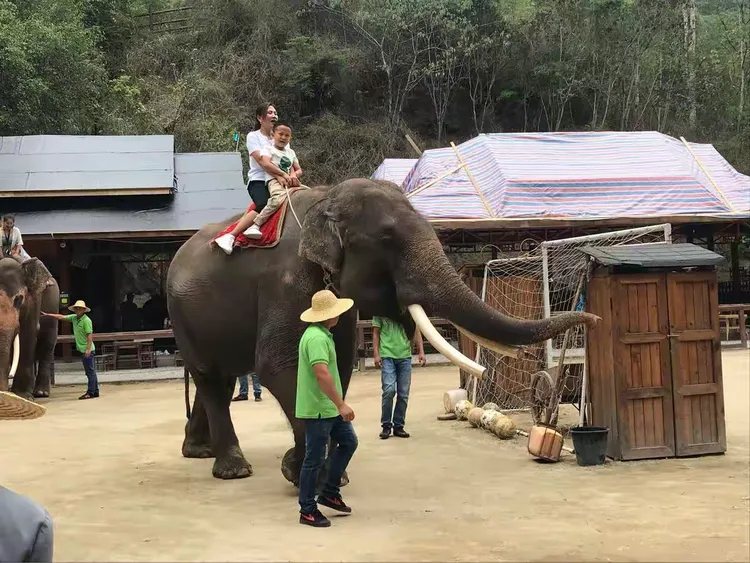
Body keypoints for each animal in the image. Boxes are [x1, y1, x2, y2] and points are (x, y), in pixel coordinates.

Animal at [0, 256, 60, 399]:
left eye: (18, 299)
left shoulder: (34, 299)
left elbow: (29, 331)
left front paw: (22, 396)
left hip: (54, 306)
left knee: (47, 344)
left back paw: (41, 393)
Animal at [166, 178, 599, 482]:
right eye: (388, 239)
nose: (592, 319)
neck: (326, 197)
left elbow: (338, 365)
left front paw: (330, 474)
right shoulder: (285, 281)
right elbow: (280, 365)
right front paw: (305, 473)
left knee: (220, 381)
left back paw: (198, 452)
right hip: (181, 314)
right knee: (210, 379)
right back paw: (233, 469)